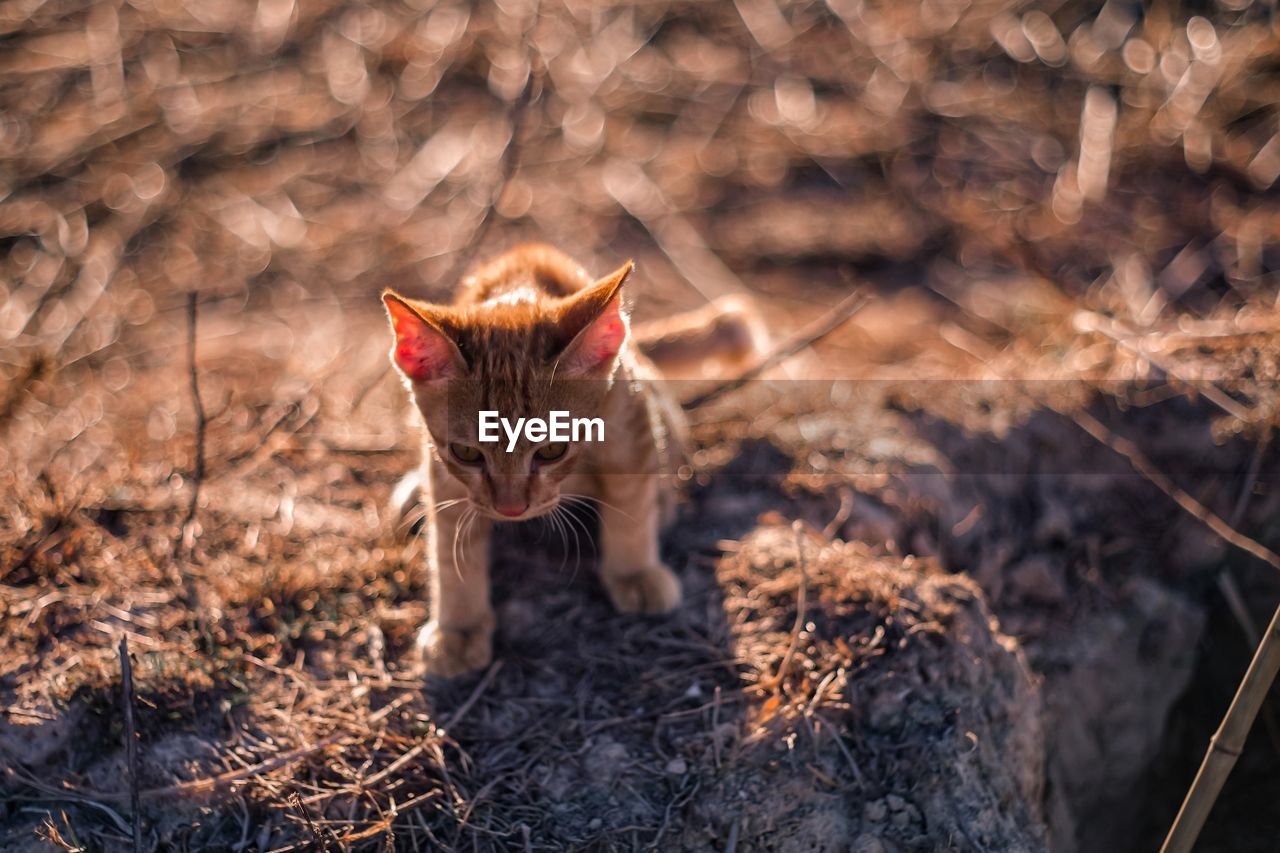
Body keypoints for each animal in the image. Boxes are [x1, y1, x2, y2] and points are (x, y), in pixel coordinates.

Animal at [378, 242, 757, 676]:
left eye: (552, 449)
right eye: (468, 453)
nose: (511, 508)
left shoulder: (630, 425)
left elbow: (630, 509)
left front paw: (636, 572)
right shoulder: (445, 475)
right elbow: (450, 552)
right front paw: (459, 628)